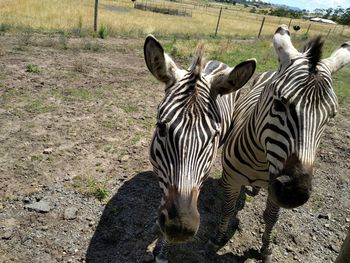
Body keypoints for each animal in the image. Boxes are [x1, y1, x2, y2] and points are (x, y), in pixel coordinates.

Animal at [206, 23, 350, 262]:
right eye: (280, 104)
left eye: (331, 116)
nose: (295, 193)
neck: (259, 161)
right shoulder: (232, 179)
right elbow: (227, 209)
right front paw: (218, 237)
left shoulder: (275, 190)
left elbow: (270, 218)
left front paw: (265, 249)